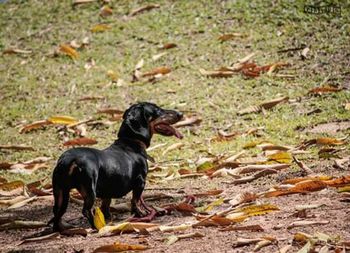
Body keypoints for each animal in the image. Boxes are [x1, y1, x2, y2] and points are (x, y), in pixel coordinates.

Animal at [51, 102, 185, 231]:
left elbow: (106, 205)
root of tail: (69, 160)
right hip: (89, 190)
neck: (131, 141)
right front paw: (140, 214)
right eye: (157, 110)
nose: (180, 114)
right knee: (86, 210)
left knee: (57, 212)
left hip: (60, 192)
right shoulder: (140, 182)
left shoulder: (107, 192)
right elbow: (135, 201)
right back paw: (96, 227)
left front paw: (108, 218)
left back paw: (60, 228)